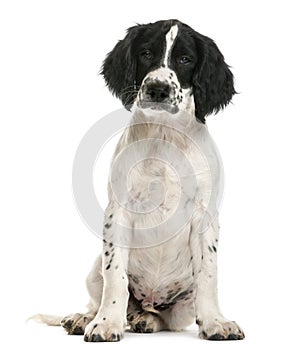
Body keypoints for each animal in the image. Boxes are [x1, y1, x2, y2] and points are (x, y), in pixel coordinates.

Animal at [35, 19, 244, 342]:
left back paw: (145, 319)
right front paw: (106, 322)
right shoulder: (118, 212)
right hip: (93, 271)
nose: (158, 89)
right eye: (146, 53)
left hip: (181, 306)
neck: (165, 134)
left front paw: (215, 322)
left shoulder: (205, 216)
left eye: (185, 59)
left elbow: (209, 275)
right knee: (100, 296)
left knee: (164, 317)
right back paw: (86, 318)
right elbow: (115, 275)